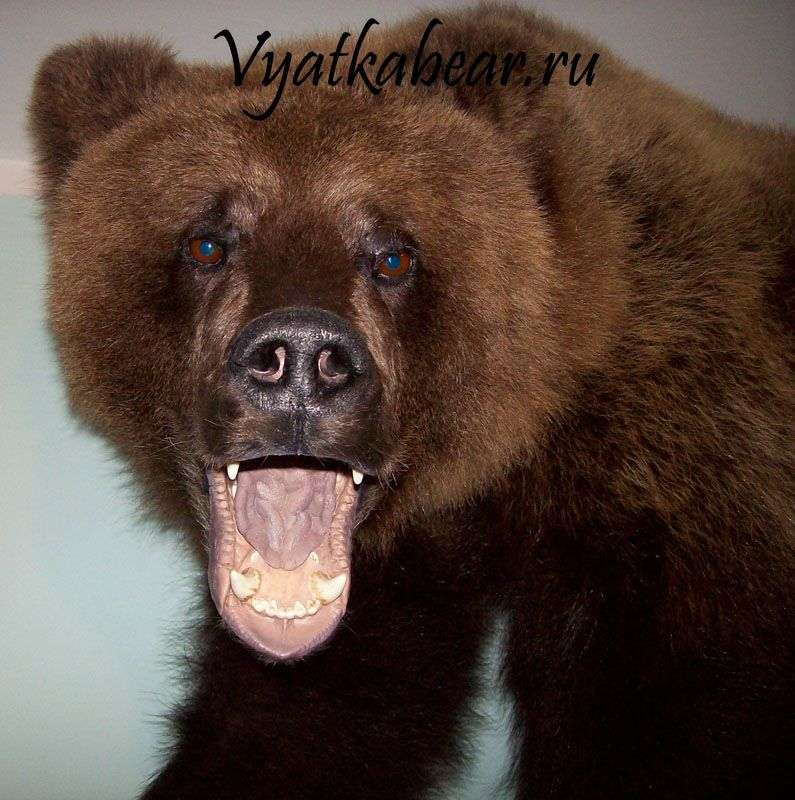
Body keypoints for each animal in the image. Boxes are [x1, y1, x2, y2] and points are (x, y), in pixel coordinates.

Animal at [28, 4, 794, 799]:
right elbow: (317, 713)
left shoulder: (669, 487)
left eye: (393, 255)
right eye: (207, 242)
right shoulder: (393, 578)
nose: (300, 359)